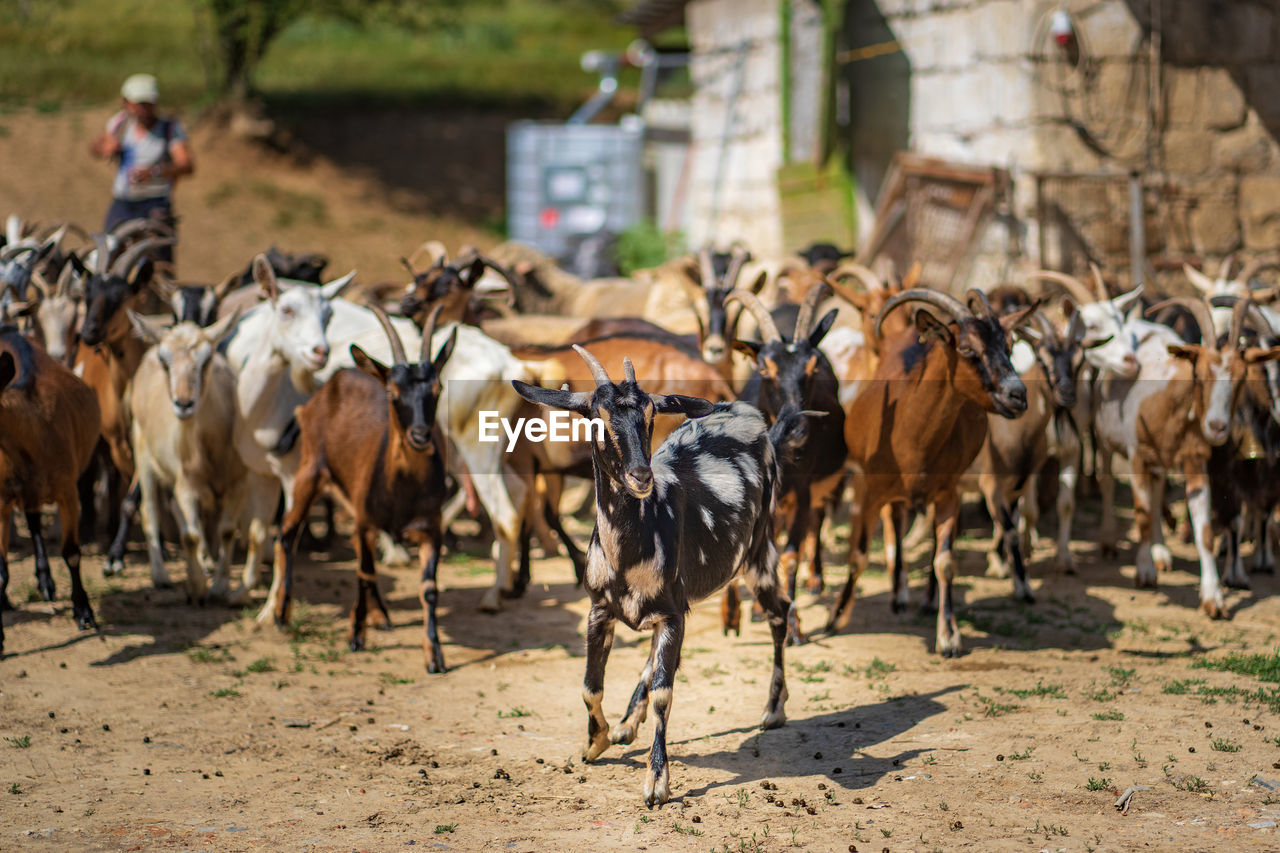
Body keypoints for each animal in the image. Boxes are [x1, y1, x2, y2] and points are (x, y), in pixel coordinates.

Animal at [509, 345, 798, 804]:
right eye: (596, 417)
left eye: (649, 417)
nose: (641, 476)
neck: (629, 550)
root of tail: (756, 420)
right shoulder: (601, 610)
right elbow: (591, 684)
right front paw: (597, 739)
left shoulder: (673, 612)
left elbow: (665, 692)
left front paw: (657, 780)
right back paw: (628, 723)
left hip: (756, 552)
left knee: (779, 612)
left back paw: (774, 708)